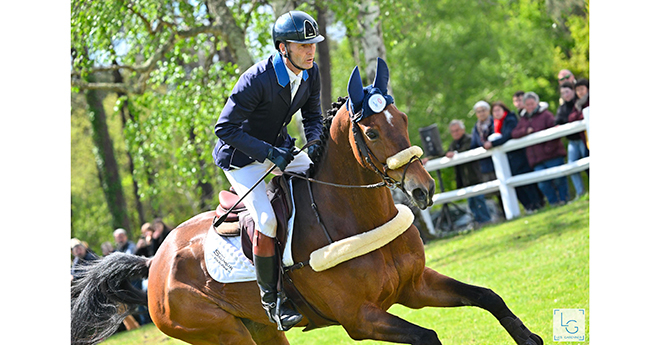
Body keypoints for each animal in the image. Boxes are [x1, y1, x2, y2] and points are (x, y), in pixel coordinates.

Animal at [71, 59, 540, 344]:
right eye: (372, 132)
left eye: (404, 119)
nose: (423, 188)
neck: (358, 217)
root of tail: (155, 260)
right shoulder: (360, 318)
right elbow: (428, 336)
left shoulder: (416, 286)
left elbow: (488, 297)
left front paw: (529, 337)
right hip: (223, 333)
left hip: (260, 329)